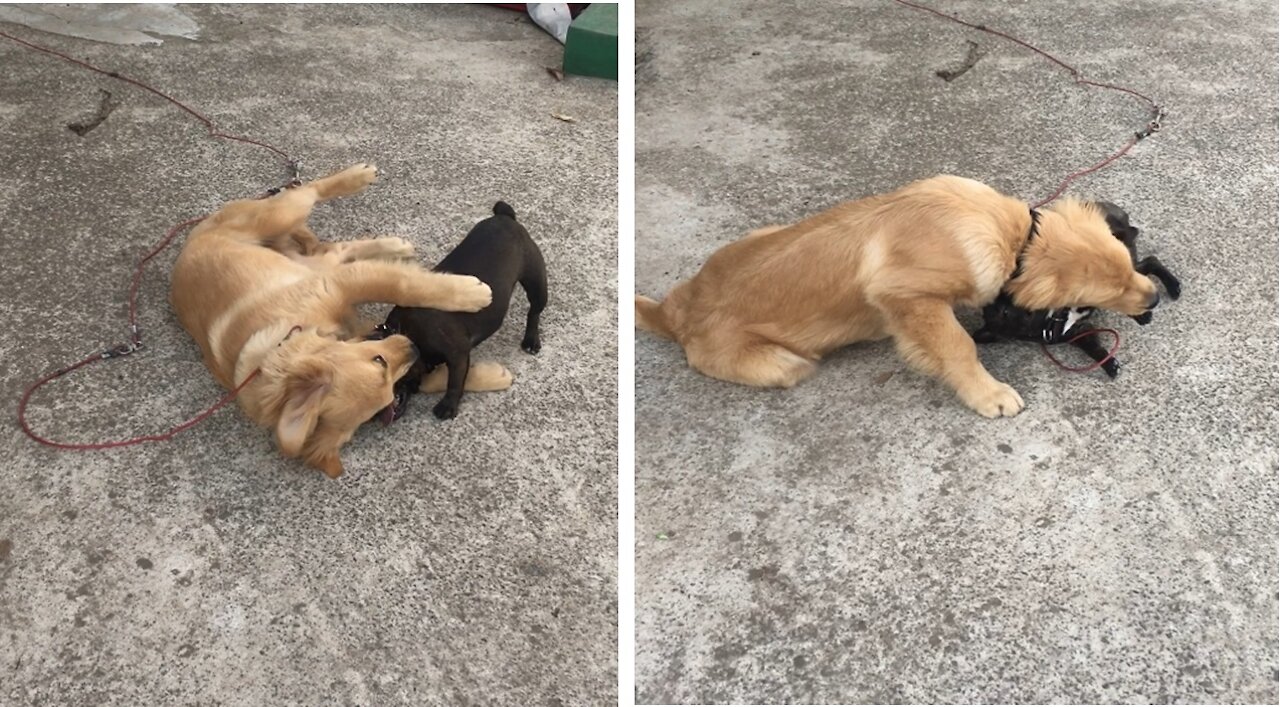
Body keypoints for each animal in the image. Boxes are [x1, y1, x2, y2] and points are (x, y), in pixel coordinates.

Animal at [170, 162, 488, 479]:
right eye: (383, 369)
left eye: (377, 360)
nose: (414, 348)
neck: (287, 341)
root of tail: (192, 237)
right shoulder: (350, 304)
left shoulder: (339, 284)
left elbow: (403, 285)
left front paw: (471, 294)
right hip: (313, 261)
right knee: (337, 248)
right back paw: (394, 244)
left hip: (281, 217)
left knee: (310, 191)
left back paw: (358, 177)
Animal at [373, 198, 545, 420]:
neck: (407, 334)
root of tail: (505, 217)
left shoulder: (457, 354)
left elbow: (454, 382)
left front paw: (447, 406)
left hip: (536, 281)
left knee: (534, 311)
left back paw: (531, 340)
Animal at [637, 174, 1162, 417]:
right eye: (1107, 291)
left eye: (1127, 262)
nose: (1155, 297)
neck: (1011, 236)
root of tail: (674, 314)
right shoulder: (908, 297)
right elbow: (958, 346)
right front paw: (988, 394)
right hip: (786, 364)